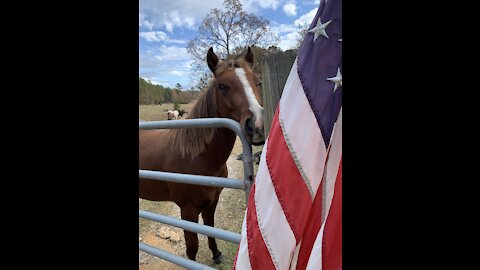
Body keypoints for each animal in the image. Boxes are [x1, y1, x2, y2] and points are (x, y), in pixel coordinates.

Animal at [139, 46, 266, 264]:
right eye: (222, 86)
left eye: (257, 82)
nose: (257, 126)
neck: (196, 156)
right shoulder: (188, 210)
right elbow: (192, 247)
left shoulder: (212, 202)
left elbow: (211, 228)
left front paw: (216, 254)